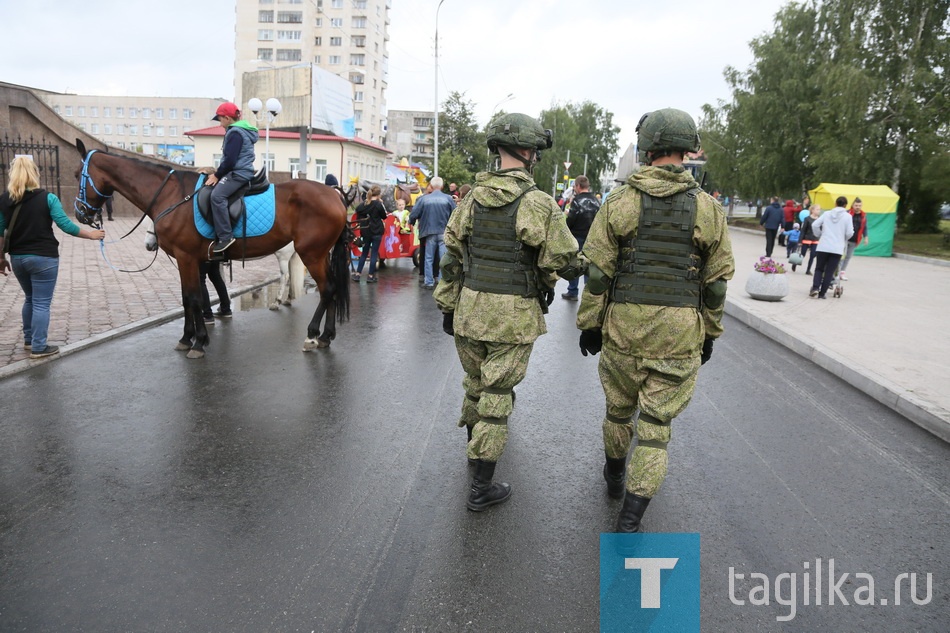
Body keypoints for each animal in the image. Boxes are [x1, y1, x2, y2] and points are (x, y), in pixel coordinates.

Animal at [73, 139, 350, 356]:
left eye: (77, 174)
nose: (80, 213)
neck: (173, 196)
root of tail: (335, 195)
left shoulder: (186, 258)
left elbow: (194, 298)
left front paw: (199, 342)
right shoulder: (192, 260)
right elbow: (187, 298)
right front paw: (187, 338)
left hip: (311, 254)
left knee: (327, 289)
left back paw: (312, 335)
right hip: (320, 254)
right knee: (333, 287)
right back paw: (326, 336)